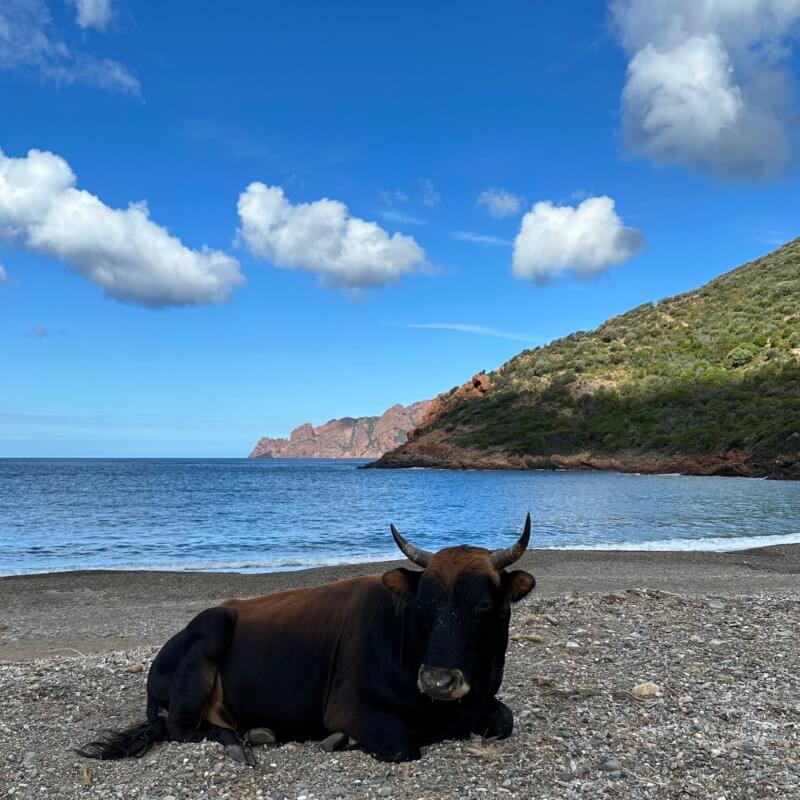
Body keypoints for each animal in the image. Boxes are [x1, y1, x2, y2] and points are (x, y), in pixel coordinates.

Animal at [79, 516, 536, 764]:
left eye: (484, 606)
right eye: (423, 604)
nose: (437, 680)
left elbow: (505, 719)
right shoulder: (348, 707)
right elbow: (404, 744)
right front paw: (341, 739)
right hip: (207, 639)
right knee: (181, 728)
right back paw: (242, 742)